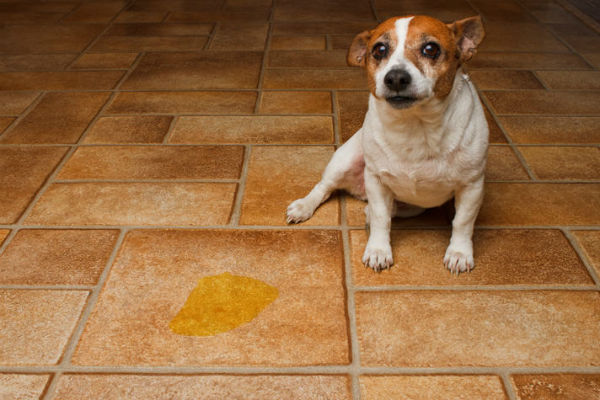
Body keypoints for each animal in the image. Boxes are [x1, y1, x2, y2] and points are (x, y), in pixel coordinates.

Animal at [286, 14, 488, 274]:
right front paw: (378, 250)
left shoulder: (472, 186)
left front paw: (459, 253)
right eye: (379, 50)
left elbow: (462, 222)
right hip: (344, 161)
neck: (415, 125)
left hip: (417, 204)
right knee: (324, 188)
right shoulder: (376, 180)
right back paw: (304, 206)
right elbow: (382, 220)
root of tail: (359, 192)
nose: (396, 77)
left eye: (430, 49)